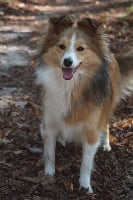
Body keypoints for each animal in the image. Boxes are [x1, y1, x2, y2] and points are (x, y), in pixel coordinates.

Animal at [35, 14, 133, 193]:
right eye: (61, 46)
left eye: (80, 49)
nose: (67, 62)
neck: (70, 86)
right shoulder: (49, 124)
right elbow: (49, 154)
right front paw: (48, 174)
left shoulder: (91, 132)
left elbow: (86, 164)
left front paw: (85, 186)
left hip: (108, 106)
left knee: (105, 125)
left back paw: (106, 144)